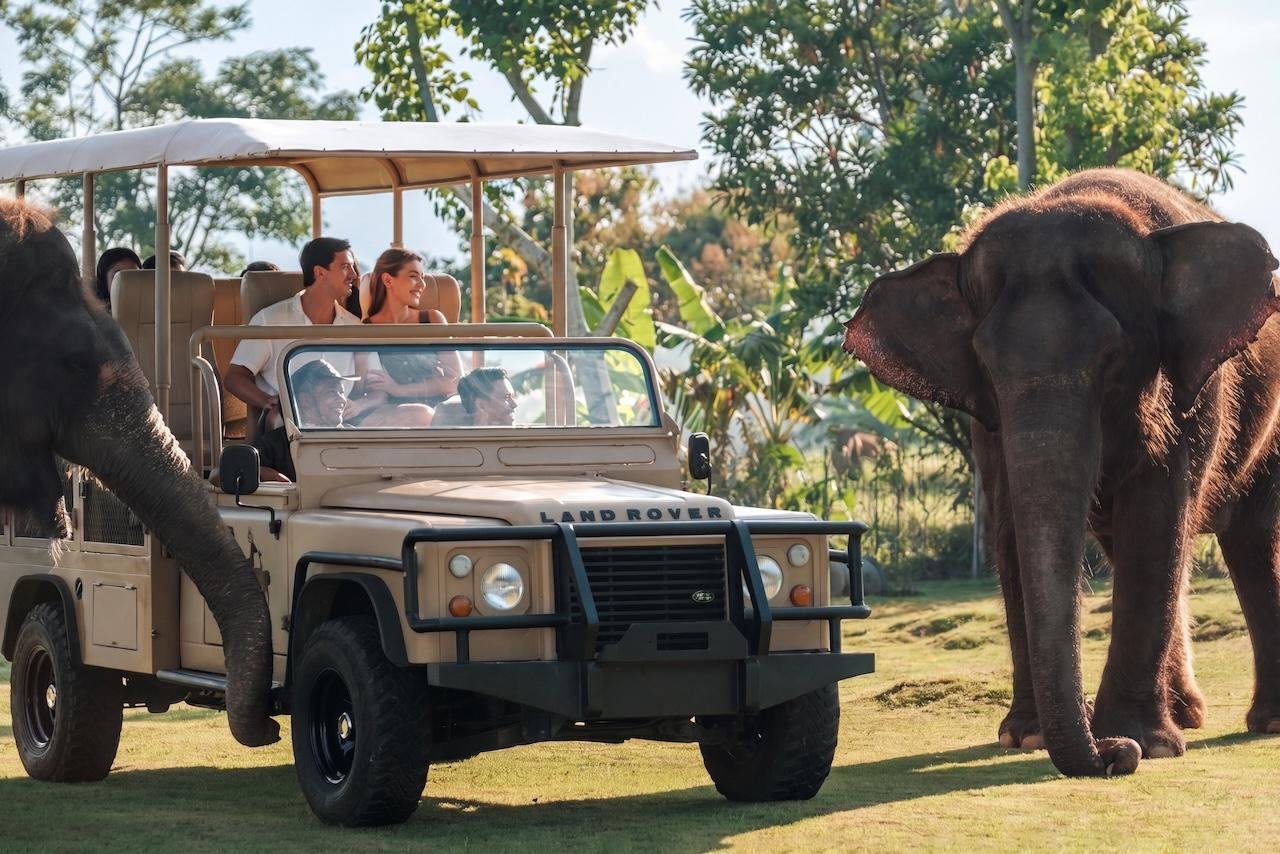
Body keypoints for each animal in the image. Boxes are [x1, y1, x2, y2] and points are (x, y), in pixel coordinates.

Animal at [843, 168, 1280, 777]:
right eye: (985, 364)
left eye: (1114, 357)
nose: (1113, 757)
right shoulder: (986, 422)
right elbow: (1008, 527)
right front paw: (1026, 737)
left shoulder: (1192, 387)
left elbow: (1156, 515)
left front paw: (1144, 742)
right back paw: (1188, 715)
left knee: (1249, 535)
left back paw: (1259, 723)